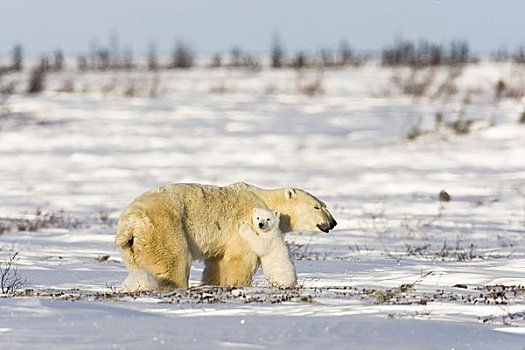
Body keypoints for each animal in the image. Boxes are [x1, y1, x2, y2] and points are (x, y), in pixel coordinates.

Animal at [114, 180, 336, 290]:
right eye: (317, 206)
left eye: (324, 205)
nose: (333, 222)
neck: (264, 199)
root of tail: (131, 223)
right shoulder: (245, 222)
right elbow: (238, 260)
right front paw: (236, 284)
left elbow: (216, 264)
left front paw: (212, 283)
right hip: (165, 228)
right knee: (174, 262)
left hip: (133, 247)